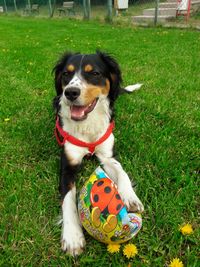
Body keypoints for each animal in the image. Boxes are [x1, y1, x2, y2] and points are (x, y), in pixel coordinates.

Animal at [53, 50, 144, 258]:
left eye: (94, 73)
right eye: (66, 74)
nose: (70, 92)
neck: (87, 125)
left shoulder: (108, 156)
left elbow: (122, 172)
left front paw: (130, 197)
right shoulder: (67, 165)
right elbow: (68, 199)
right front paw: (72, 237)